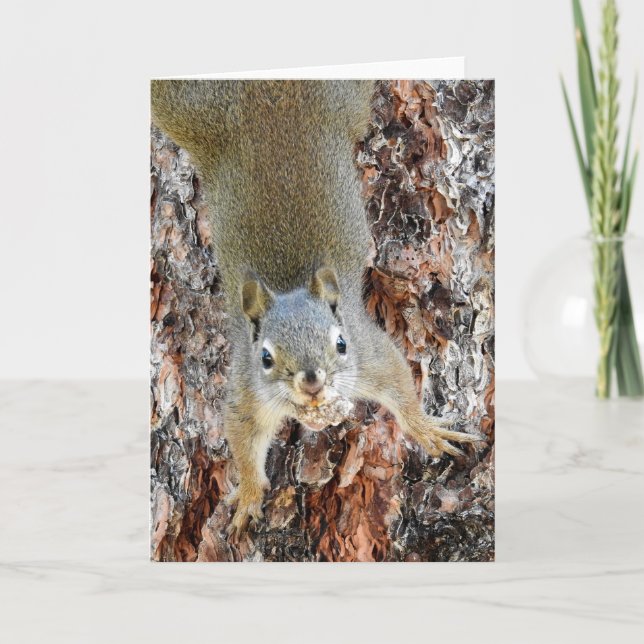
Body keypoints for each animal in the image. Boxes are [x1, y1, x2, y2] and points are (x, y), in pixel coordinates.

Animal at [151, 80, 481, 536]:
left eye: (341, 344)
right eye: (266, 357)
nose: (311, 382)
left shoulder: (370, 354)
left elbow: (400, 384)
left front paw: (424, 429)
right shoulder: (246, 389)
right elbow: (242, 438)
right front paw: (249, 493)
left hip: (340, 100)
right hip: (188, 110)